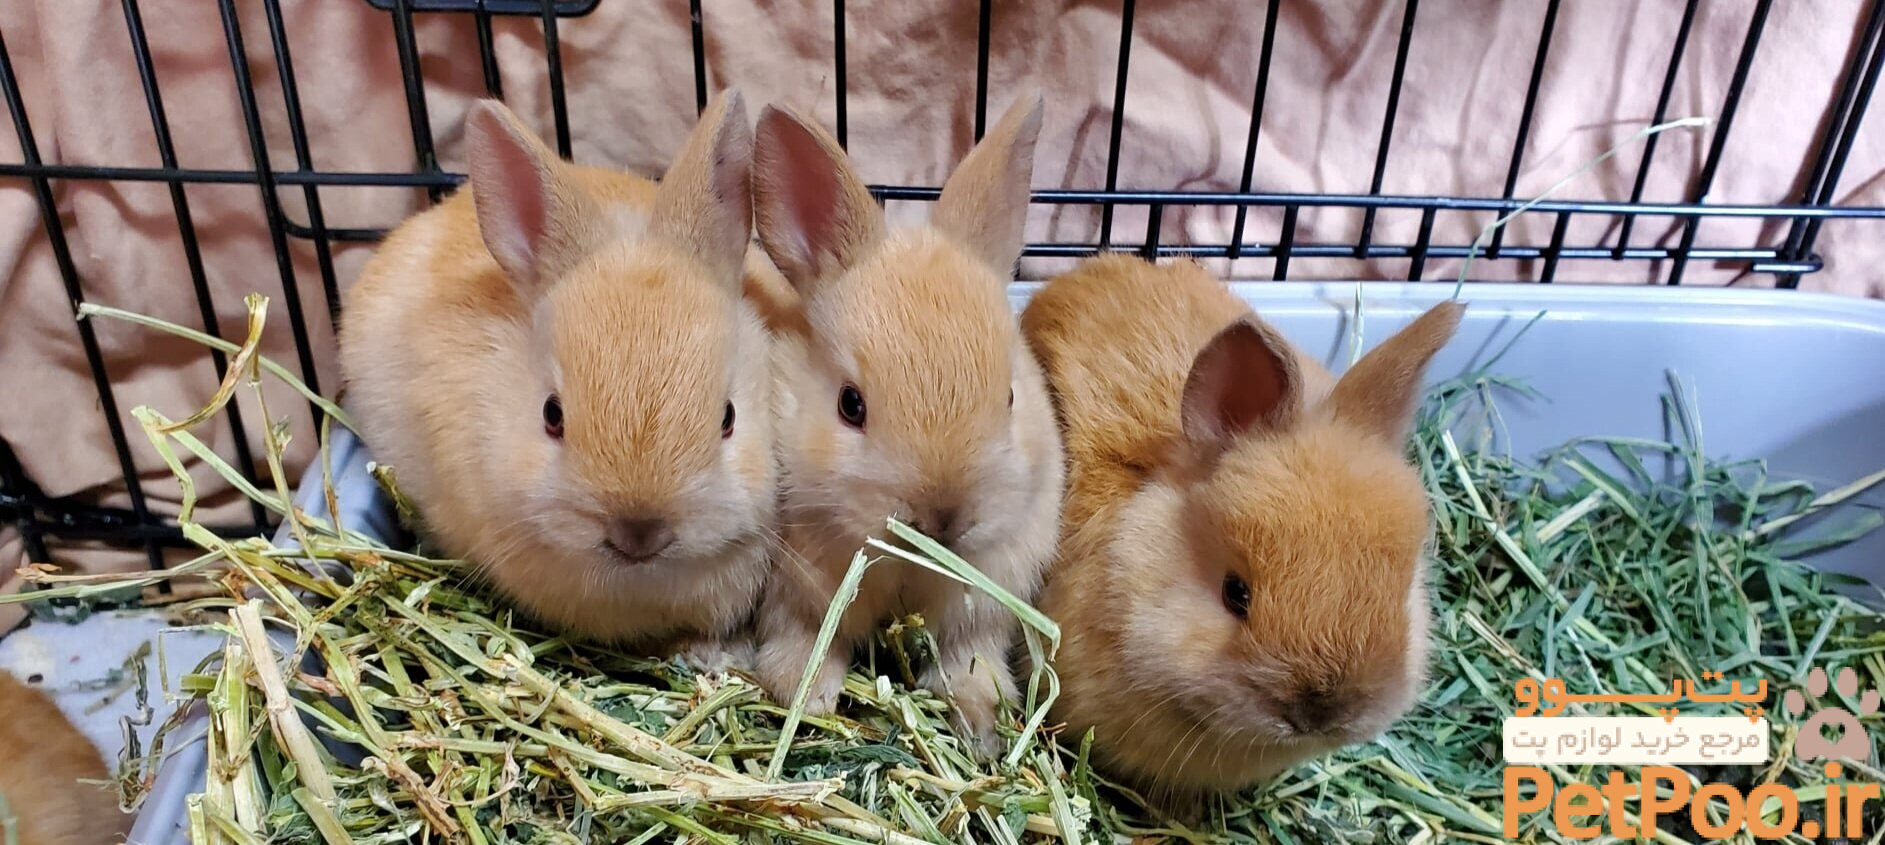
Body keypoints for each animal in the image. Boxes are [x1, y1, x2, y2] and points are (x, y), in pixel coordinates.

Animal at [746, 93, 1064, 754]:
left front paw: (981, 725)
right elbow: (807, 644)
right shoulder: (800, 595)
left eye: (1011, 397)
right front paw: (804, 700)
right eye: (850, 405)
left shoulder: (982, 605)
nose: (942, 519)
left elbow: (969, 661)